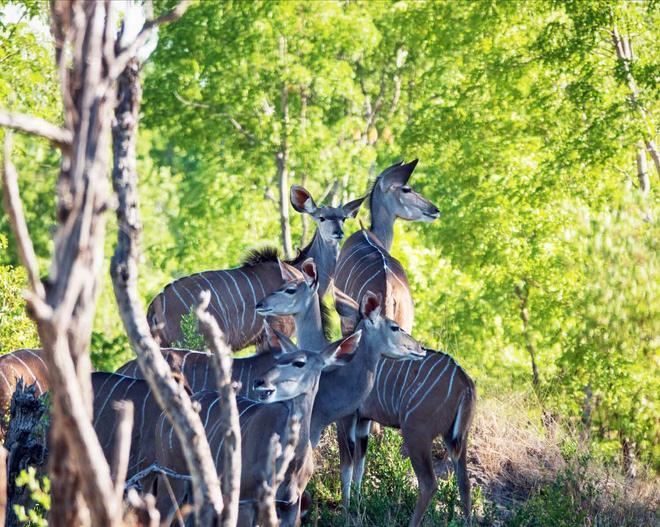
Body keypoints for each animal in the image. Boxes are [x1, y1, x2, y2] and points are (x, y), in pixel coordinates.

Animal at [152, 328, 364, 524]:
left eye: (299, 362)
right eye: (278, 360)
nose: (260, 382)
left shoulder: (290, 505)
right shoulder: (245, 501)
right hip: (171, 479)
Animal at [336, 292, 474, 527]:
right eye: (394, 327)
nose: (420, 348)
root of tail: (464, 382)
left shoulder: (346, 417)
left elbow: (346, 467)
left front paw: (345, 511)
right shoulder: (363, 420)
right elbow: (359, 466)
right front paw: (357, 505)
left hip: (416, 433)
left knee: (429, 483)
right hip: (456, 437)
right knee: (464, 483)